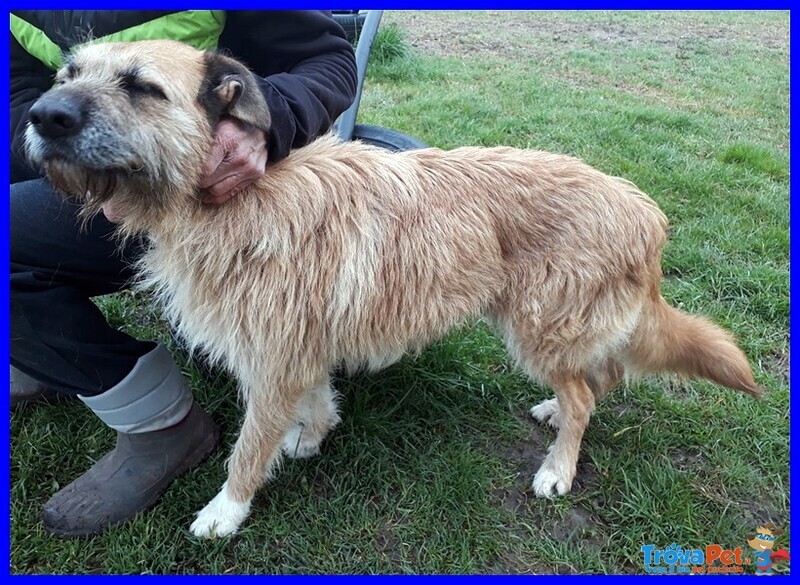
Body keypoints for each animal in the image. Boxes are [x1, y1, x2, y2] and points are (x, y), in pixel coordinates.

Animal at [25, 38, 764, 536]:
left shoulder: (270, 357)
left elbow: (247, 447)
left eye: (141, 86)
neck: (240, 200)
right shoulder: (296, 346)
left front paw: (227, 510)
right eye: (69, 73)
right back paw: (558, 416)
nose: (41, 115)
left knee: (586, 393)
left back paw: (559, 465)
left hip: (536, 326)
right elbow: (313, 397)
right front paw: (313, 432)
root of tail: (644, 210)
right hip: (559, 327)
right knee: (598, 377)